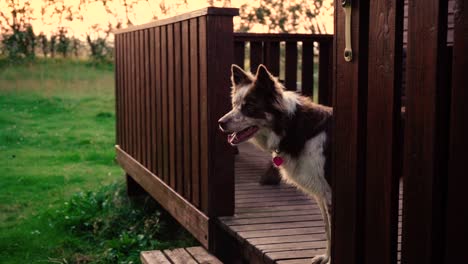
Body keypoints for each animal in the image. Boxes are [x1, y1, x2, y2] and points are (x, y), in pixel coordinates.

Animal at [219, 64, 332, 264]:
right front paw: (326, 257)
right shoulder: (321, 194)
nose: (220, 123)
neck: (290, 126)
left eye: (249, 107)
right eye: (234, 104)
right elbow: (327, 230)